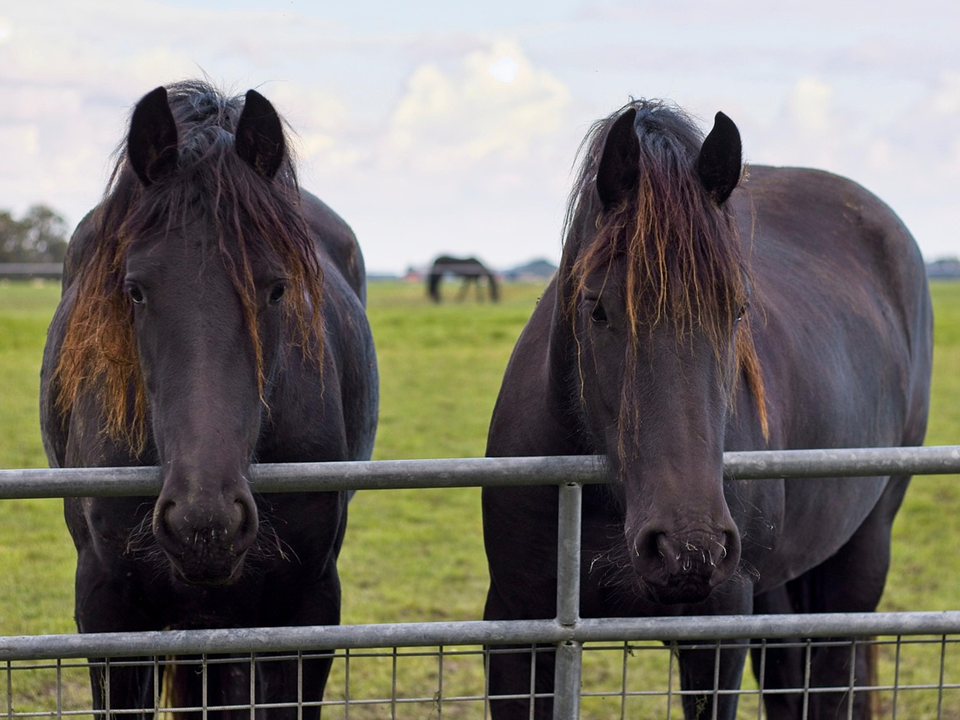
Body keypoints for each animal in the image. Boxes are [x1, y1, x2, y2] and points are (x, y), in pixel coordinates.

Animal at [482, 100, 932, 719]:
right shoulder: (515, 632)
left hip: (859, 559)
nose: (688, 548)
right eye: (598, 309)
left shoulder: (716, 637)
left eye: (738, 310)